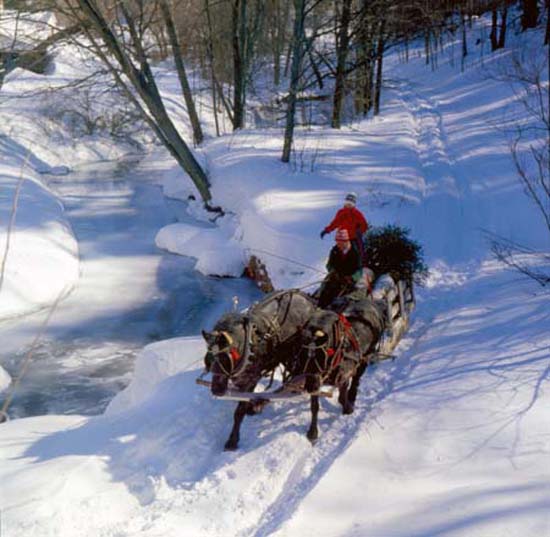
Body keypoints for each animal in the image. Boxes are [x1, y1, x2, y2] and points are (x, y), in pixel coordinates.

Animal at [203, 288, 316, 448]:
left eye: (226, 358)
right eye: (209, 359)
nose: (217, 391)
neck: (247, 345)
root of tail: (306, 298)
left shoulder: (251, 378)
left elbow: (239, 411)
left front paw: (233, 440)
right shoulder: (241, 380)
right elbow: (244, 398)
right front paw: (253, 406)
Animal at [296, 296, 386, 442]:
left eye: (322, 356)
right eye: (302, 356)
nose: (309, 387)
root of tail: (372, 303)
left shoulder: (343, 376)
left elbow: (342, 397)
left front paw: (348, 409)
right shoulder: (316, 380)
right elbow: (314, 407)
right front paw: (312, 432)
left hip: (366, 355)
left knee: (357, 378)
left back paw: (352, 395)